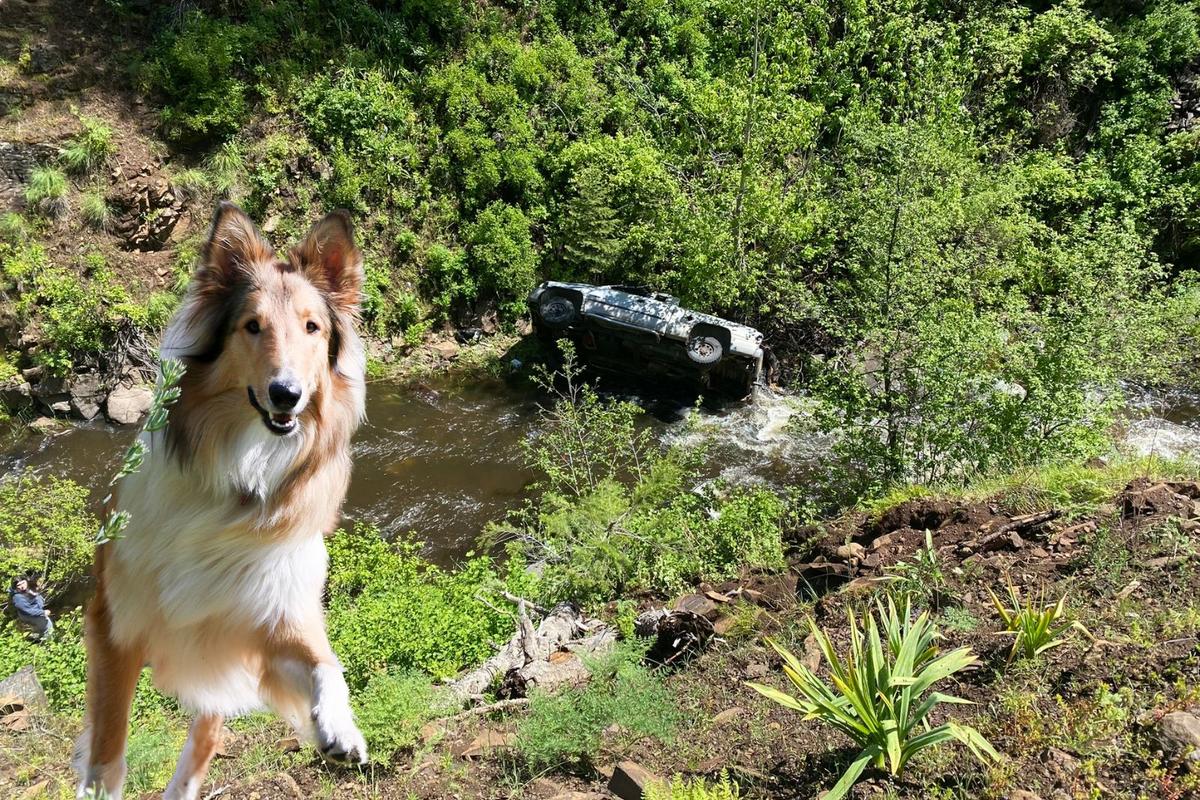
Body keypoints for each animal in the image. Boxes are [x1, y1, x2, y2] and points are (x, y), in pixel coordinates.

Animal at [76, 203, 364, 796]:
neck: (238, 476)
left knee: (202, 742)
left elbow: (328, 664)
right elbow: (108, 754)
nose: (286, 394)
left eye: (313, 327)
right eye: (252, 326)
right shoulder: (117, 627)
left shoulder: (271, 624)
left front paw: (340, 728)